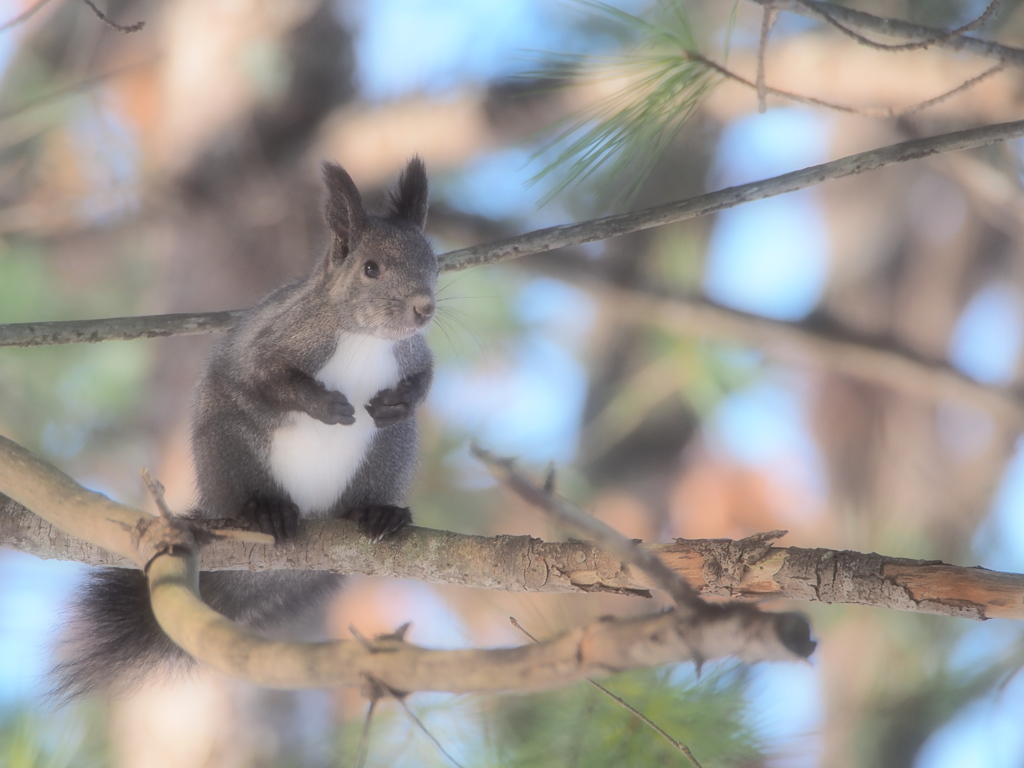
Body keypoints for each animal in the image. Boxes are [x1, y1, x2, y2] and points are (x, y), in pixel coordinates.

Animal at [54, 159, 436, 700]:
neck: (365, 338)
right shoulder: (272, 338)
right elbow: (269, 377)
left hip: (390, 453)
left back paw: (378, 513)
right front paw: (325, 405)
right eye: (370, 268)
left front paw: (400, 401)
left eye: (435, 262)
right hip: (227, 443)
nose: (425, 308)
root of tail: (314, 509)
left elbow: (426, 377)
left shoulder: (414, 352)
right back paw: (265, 511)